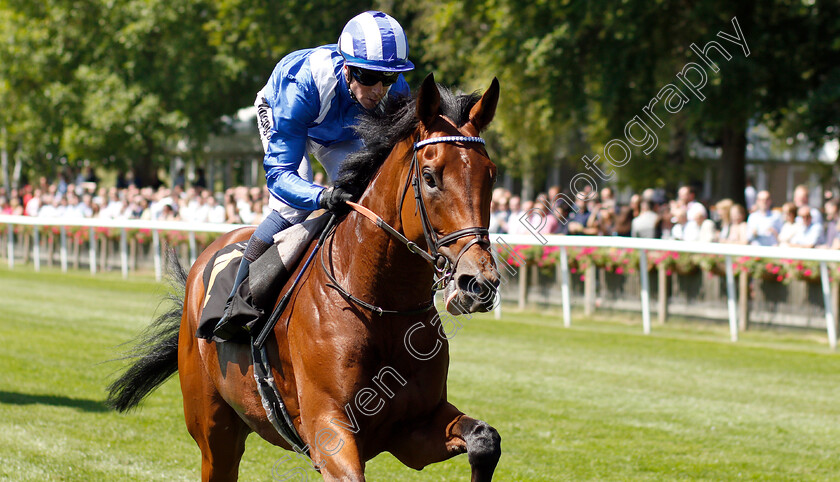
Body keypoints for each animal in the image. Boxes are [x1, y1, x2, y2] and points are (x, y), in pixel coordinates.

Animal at [110, 73, 506, 480]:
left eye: (491, 175)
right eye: (429, 177)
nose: (478, 281)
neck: (381, 305)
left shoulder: (414, 428)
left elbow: (484, 439)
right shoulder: (328, 430)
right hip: (213, 430)